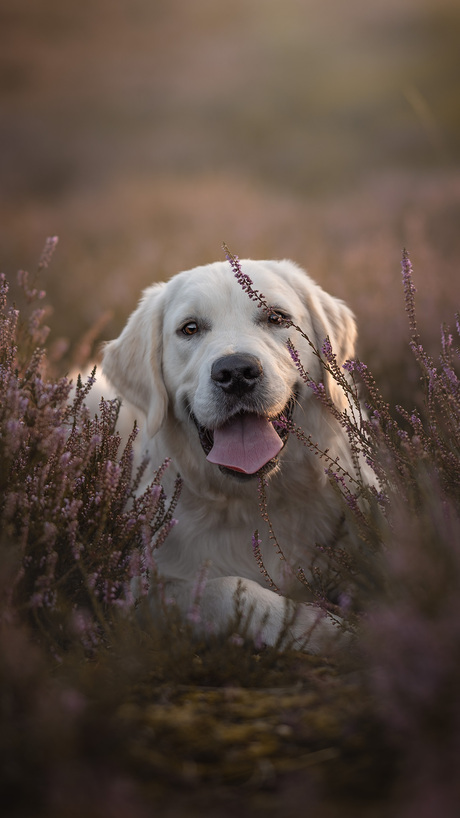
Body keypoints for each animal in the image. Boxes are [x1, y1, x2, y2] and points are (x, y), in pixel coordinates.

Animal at [102, 256, 364, 652]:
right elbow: (228, 588)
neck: (252, 501)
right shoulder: (141, 594)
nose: (236, 371)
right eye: (190, 328)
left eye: (276, 318)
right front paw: (329, 631)